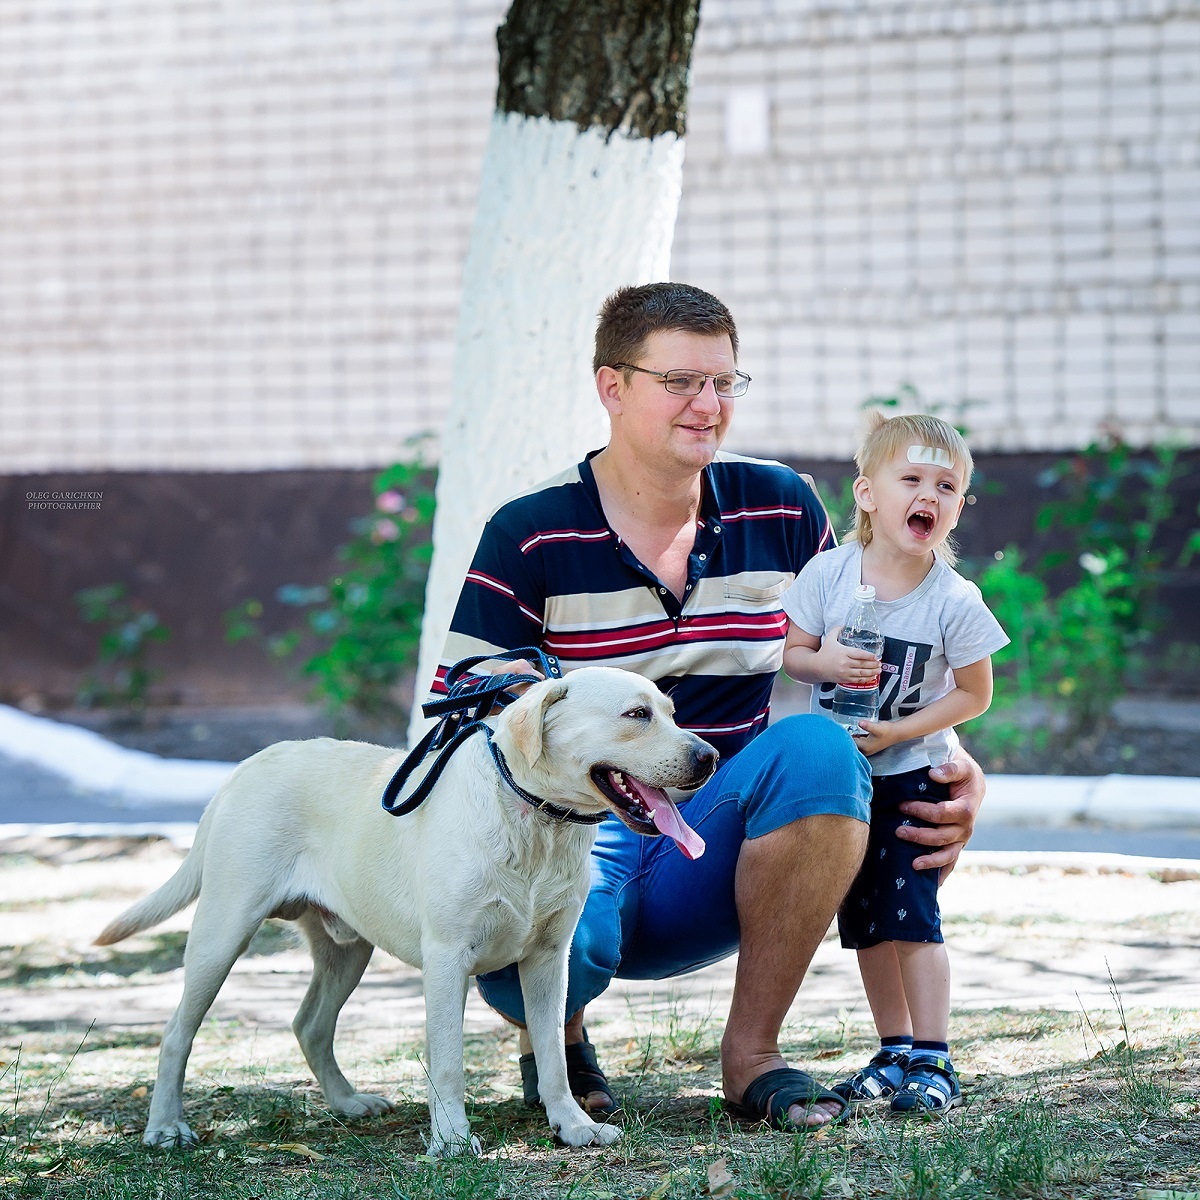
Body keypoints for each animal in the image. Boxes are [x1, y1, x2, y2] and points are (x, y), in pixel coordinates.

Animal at [96, 672, 710, 1156]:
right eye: (636, 715)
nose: (709, 756)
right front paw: (452, 1139)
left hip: (347, 950)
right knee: (177, 1031)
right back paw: (166, 1127)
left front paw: (573, 1125)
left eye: (673, 712)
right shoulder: (448, 960)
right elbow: (449, 1061)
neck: (535, 821)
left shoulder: (548, 960)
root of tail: (244, 767)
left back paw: (348, 1102)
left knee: (309, 1025)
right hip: (222, 932)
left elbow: (554, 1053)